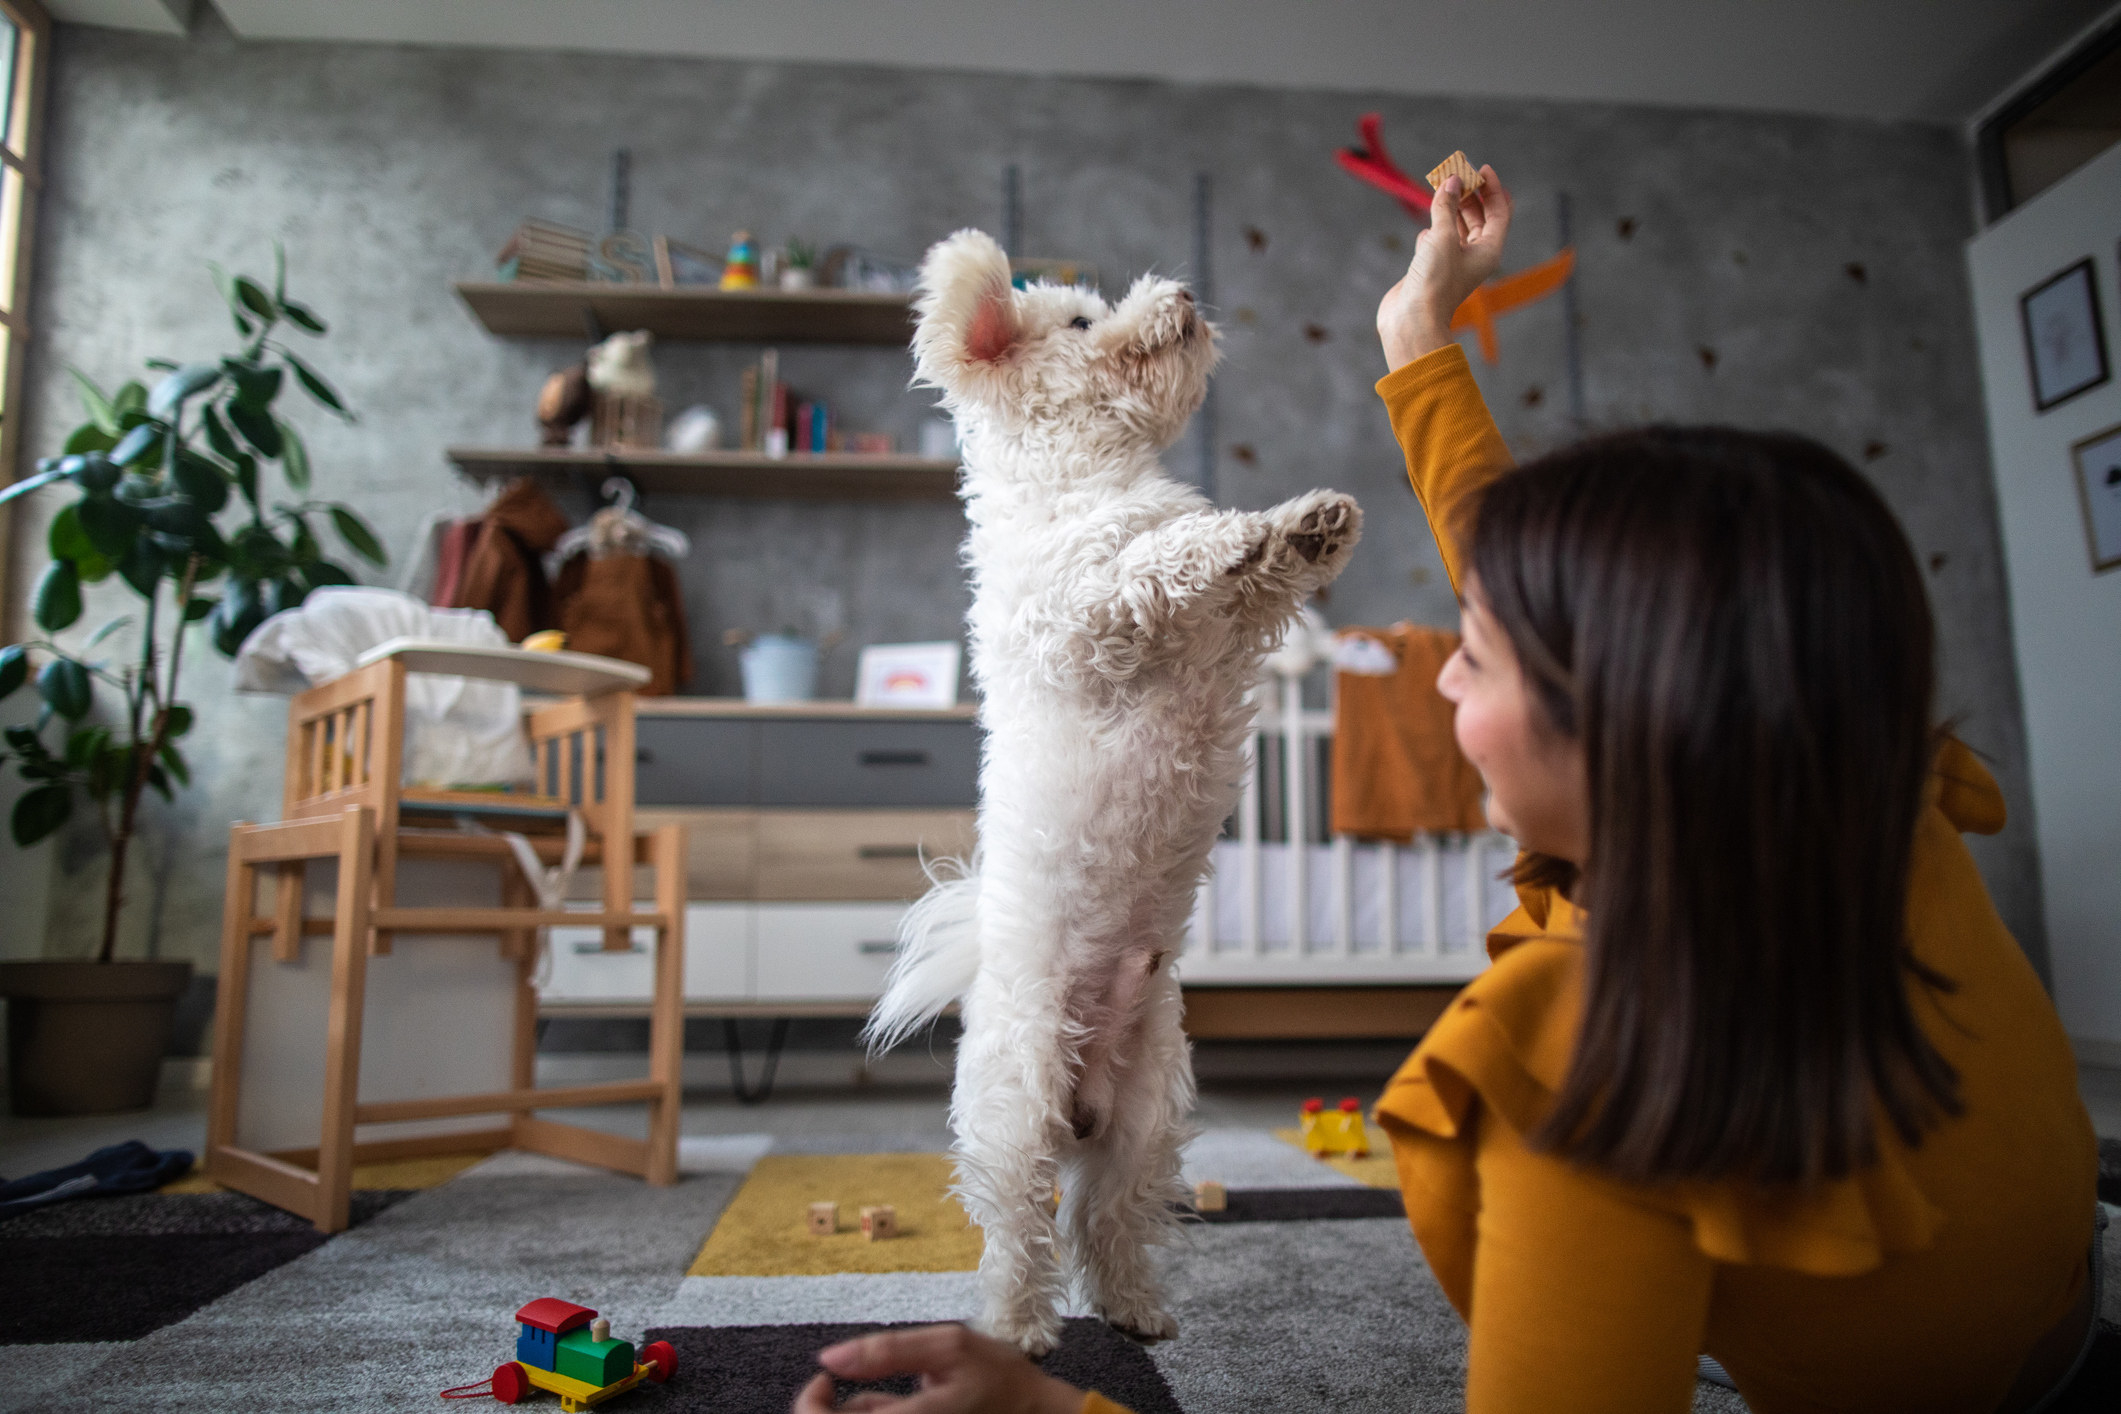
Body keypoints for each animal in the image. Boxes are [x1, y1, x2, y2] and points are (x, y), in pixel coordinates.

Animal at [869, 226, 1365, 1356]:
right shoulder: (1084, 615)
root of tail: (1079, 1099)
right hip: (1016, 1110)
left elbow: (1262, 577)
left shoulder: (1232, 633)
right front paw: (1227, 533)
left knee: (1107, 1218)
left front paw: (1309, 525)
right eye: (1083, 320)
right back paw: (1017, 1331)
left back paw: (1136, 1309)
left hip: (1148, 1113)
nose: (1178, 288)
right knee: (1019, 1231)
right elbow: (1163, 556)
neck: (1087, 481)